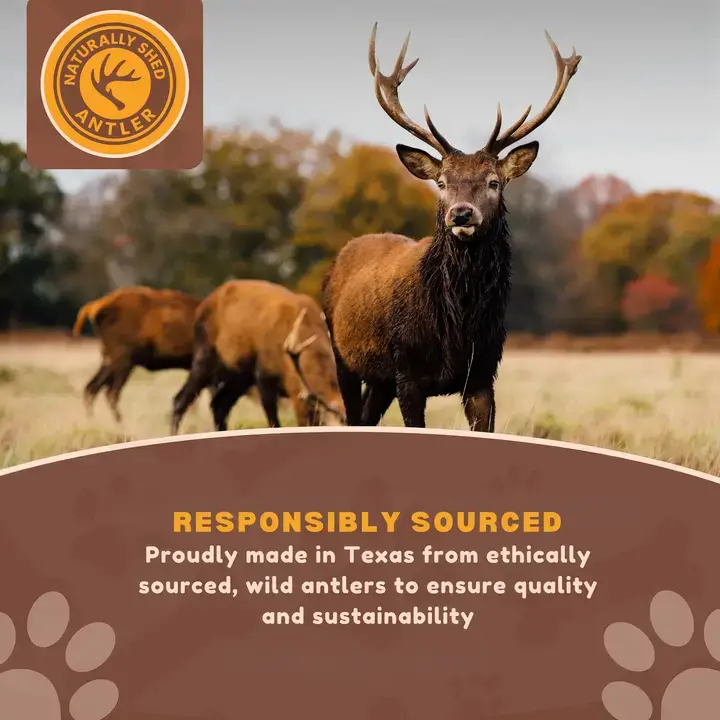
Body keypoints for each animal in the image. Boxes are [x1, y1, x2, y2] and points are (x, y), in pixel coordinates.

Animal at [321, 24, 581, 431]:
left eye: (494, 182)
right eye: (441, 182)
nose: (461, 214)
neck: (457, 330)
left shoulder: (483, 375)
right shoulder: (408, 373)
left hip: (379, 378)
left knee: (365, 416)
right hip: (341, 355)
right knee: (352, 415)